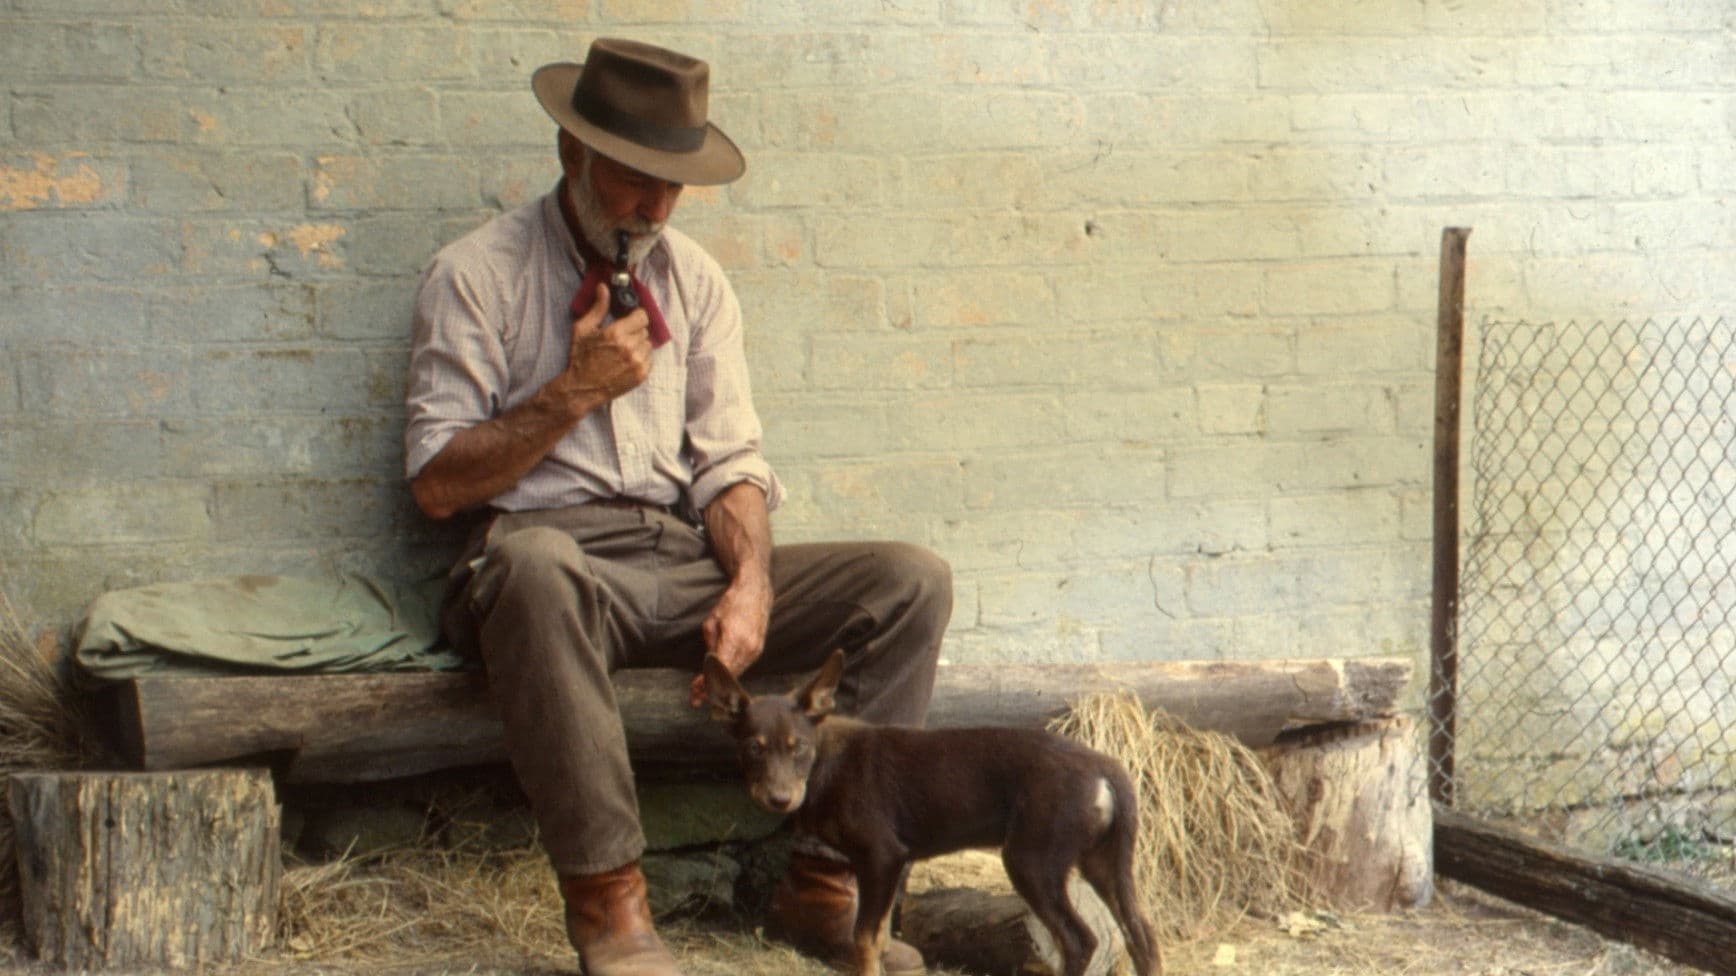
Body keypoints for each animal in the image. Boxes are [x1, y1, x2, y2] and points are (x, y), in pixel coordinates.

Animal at [704, 650, 1161, 976]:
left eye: (798, 746)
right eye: (753, 748)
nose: (779, 800)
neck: (826, 764)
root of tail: (1106, 769)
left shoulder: (882, 855)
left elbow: (865, 939)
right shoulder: (890, 864)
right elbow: (880, 939)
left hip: (1033, 860)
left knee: (1081, 941)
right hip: (1103, 861)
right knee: (1143, 937)